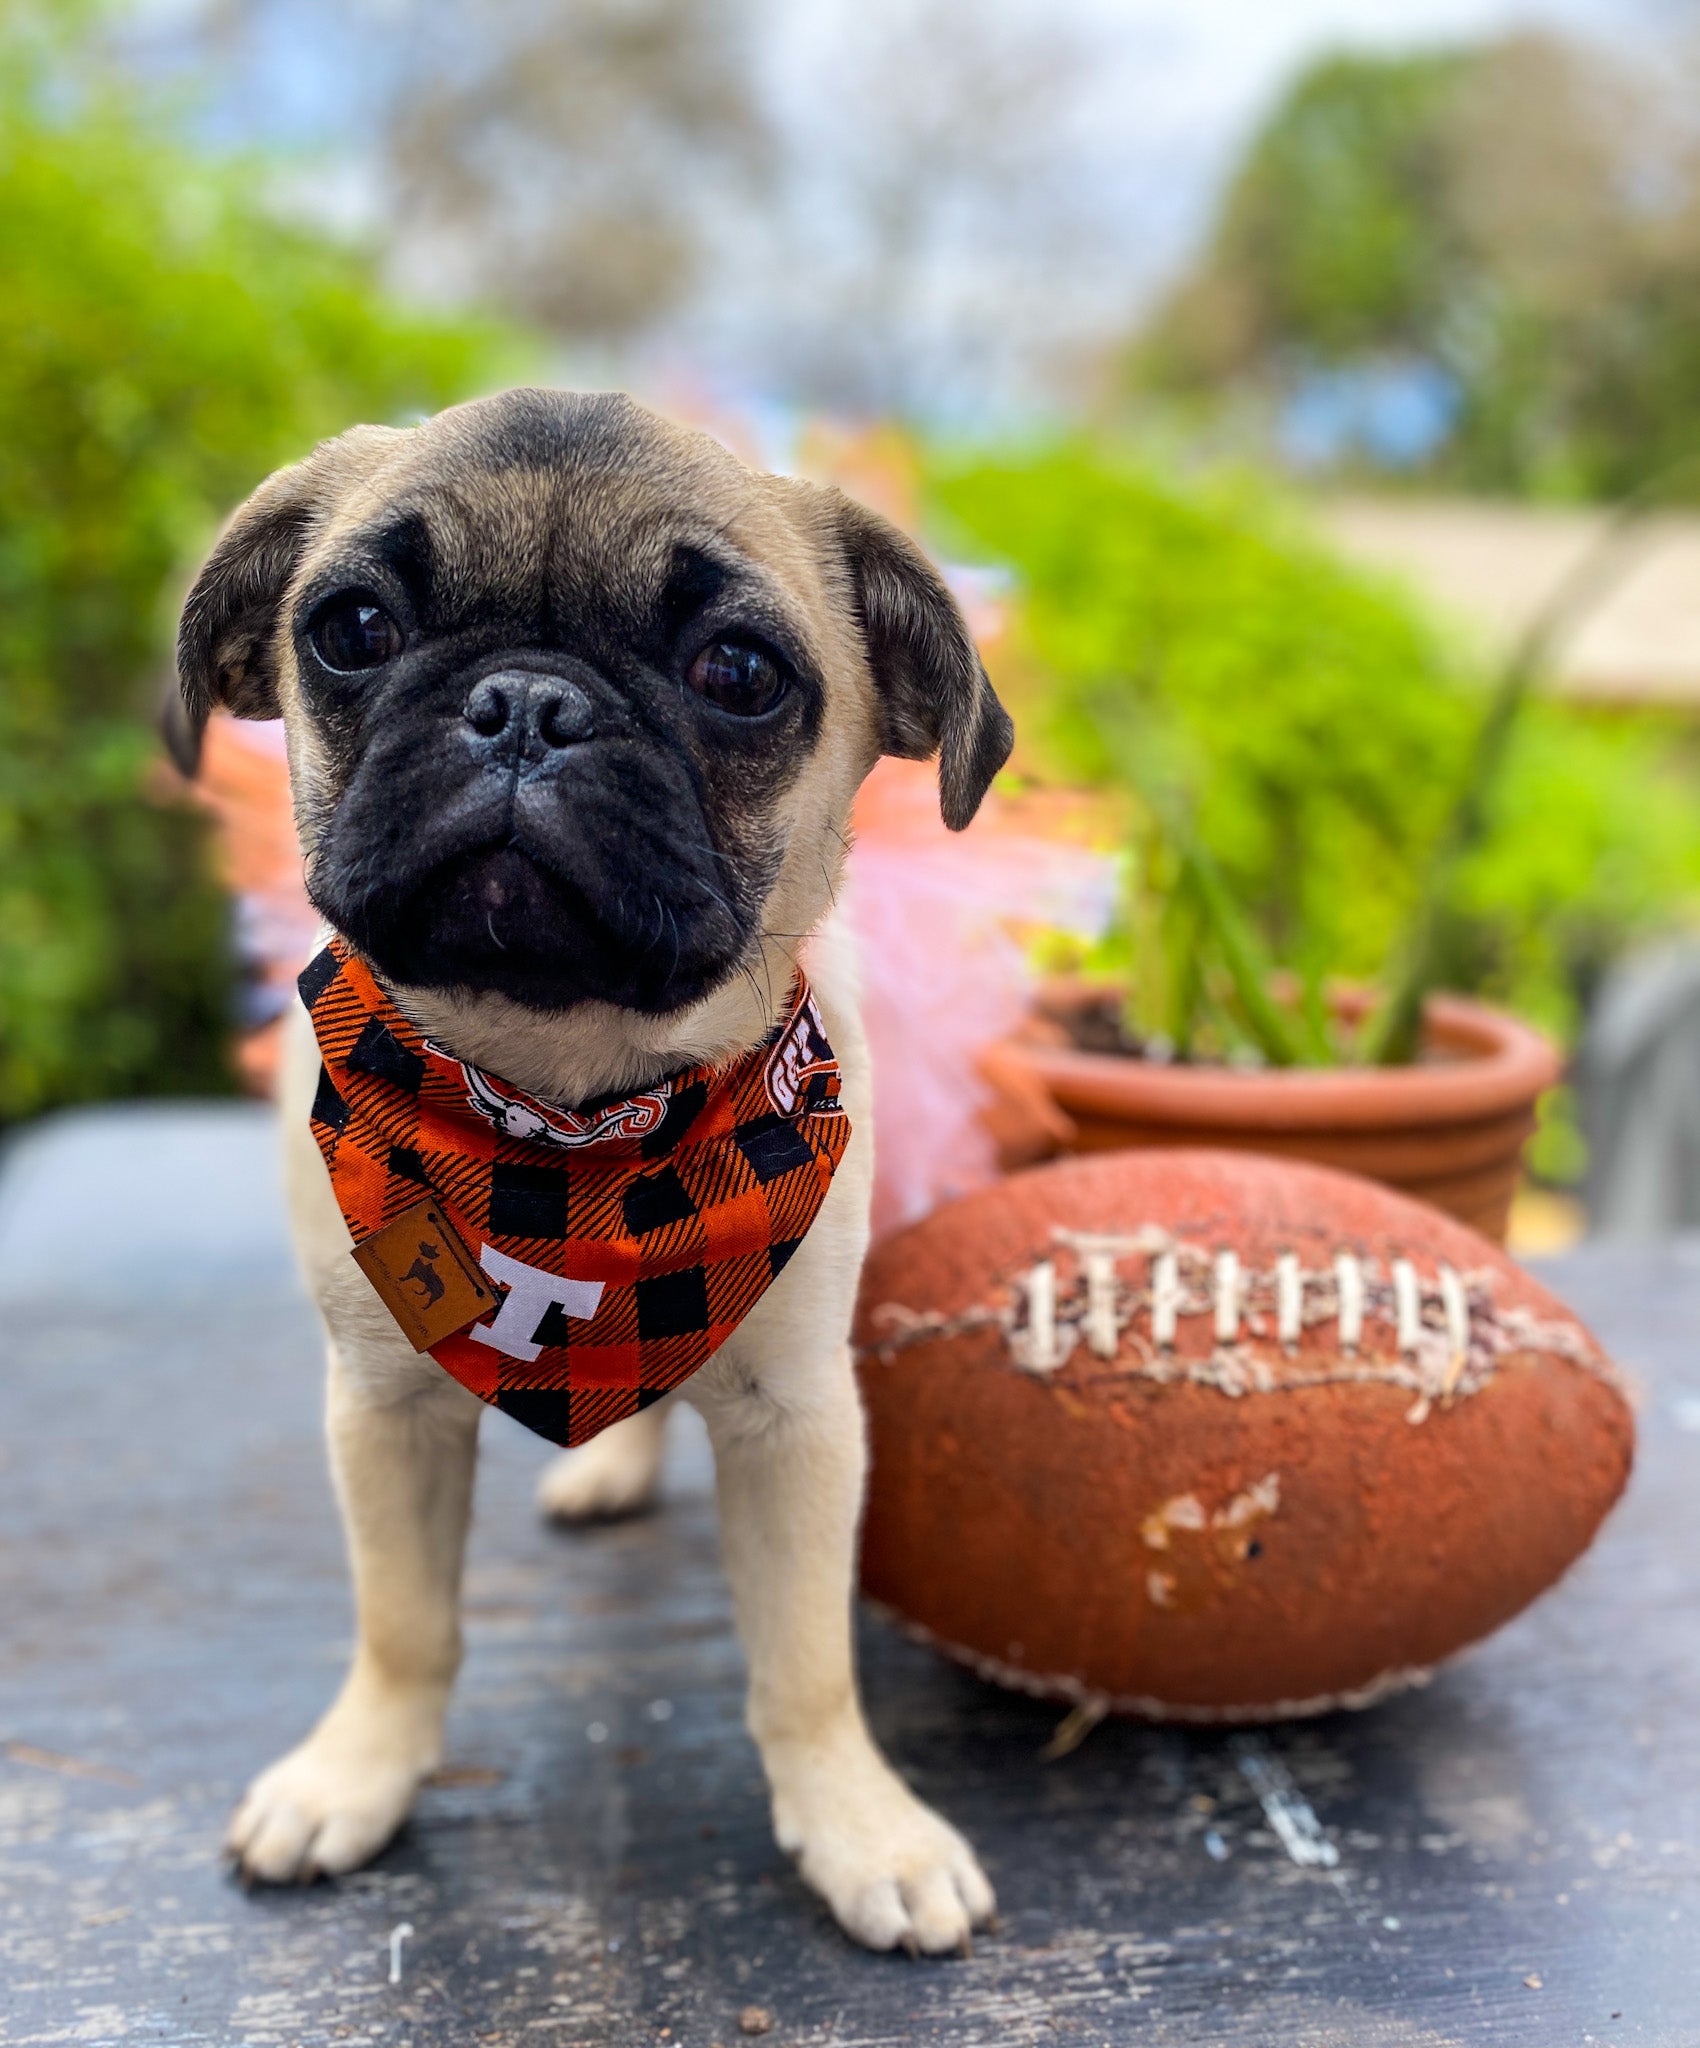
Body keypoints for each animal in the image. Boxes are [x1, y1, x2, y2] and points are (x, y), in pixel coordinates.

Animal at [176, 387, 1011, 1949]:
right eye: (352, 629)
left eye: (738, 671)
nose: (525, 703)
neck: (564, 1118)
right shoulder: (381, 1408)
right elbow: (403, 1623)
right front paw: (355, 1775)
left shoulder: (801, 1420)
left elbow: (804, 1662)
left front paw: (859, 1826)